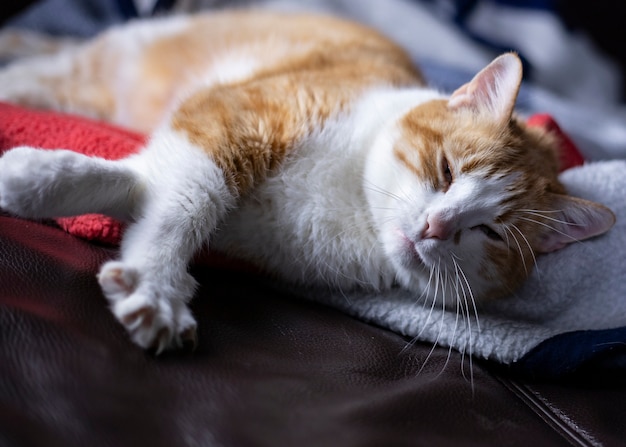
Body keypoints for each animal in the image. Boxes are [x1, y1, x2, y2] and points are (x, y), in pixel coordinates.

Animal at [0, 11, 616, 354]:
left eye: (490, 233)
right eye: (446, 169)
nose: (436, 226)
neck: (353, 208)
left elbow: (147, 187)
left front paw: (36, 179)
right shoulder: (235, 116)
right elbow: (186, 198)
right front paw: (156, 284)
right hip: (85, 74)